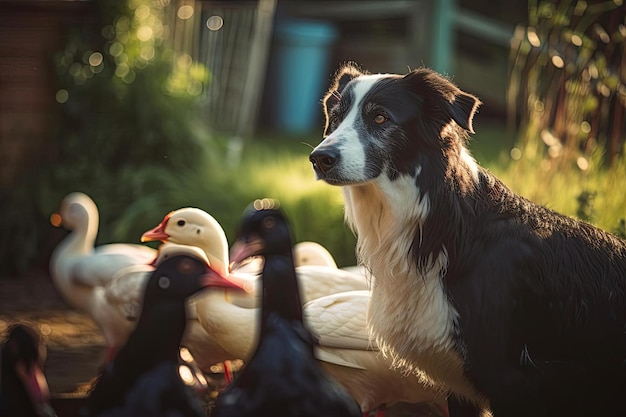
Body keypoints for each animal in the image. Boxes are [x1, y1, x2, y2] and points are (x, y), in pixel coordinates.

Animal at [310, 62, 624, 416]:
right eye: (335, 118)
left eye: (380, 118)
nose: (319, 158)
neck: (445, 231)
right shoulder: (461, 386)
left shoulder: (510, 381)